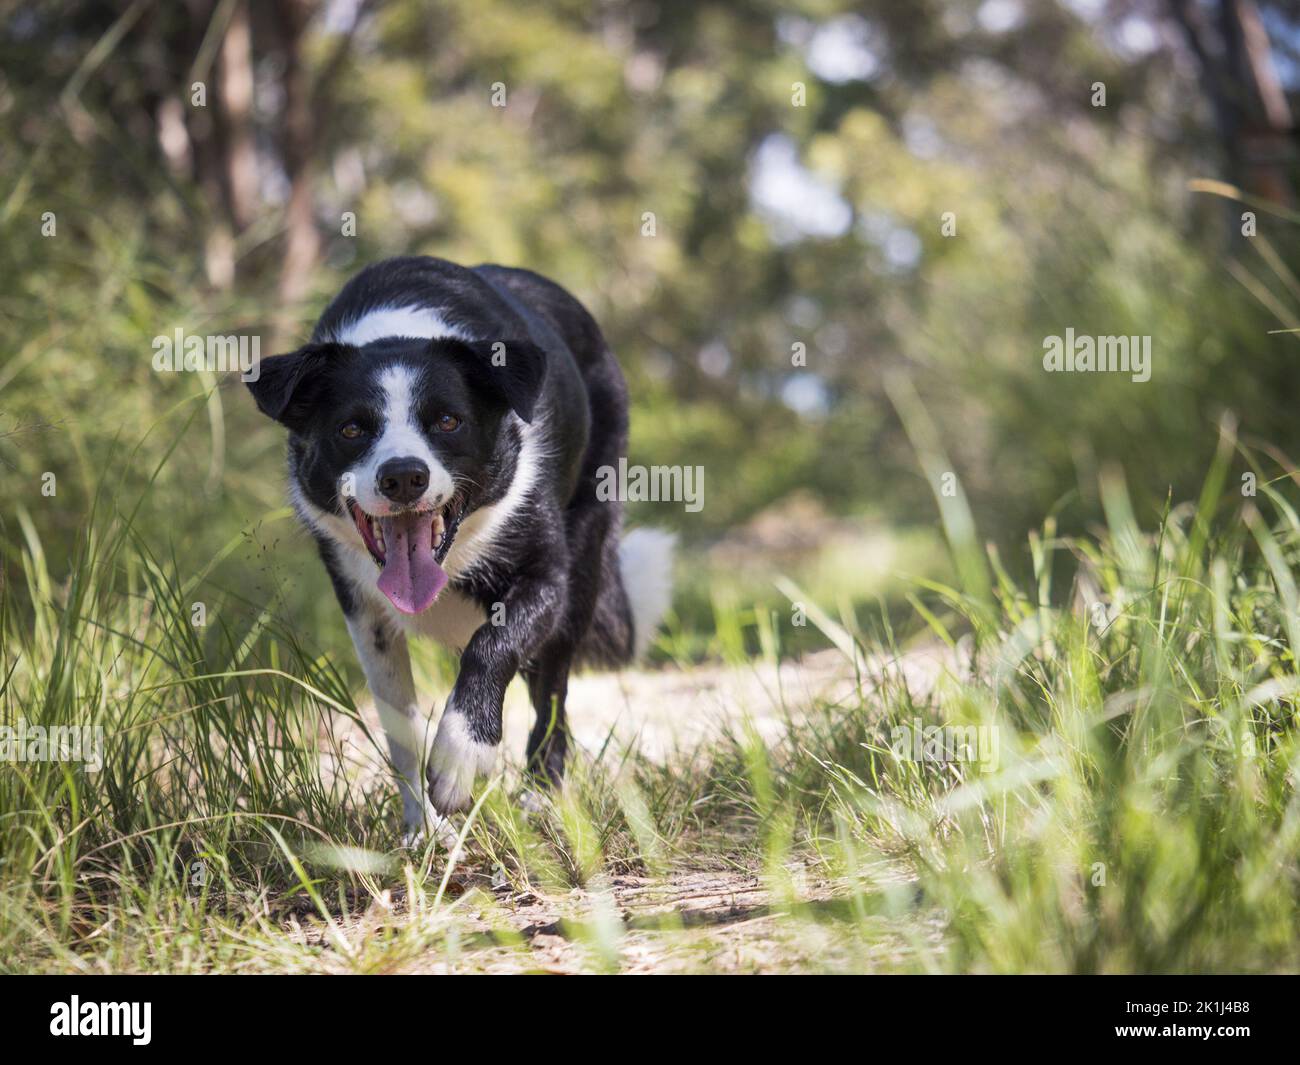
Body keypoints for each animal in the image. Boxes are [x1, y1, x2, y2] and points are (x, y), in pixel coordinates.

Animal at [245, 258, 670, 842]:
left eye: (448, 421)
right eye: (351, 429)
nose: (404, 476)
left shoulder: (546, 576)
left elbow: (492, 645)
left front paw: (460, 756)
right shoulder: (363, 611)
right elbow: (400, 723)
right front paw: (422, 830)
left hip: (589, 546)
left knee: (552, 693)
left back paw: (542, 792)